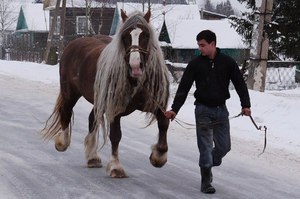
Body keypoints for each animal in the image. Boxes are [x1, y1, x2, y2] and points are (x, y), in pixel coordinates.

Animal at [41, 8, 170, 177]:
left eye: (146, 35)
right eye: (125, 36)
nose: (135, 66)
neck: (136, 82)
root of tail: (74, 44)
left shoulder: (155, 105)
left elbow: (164, 122)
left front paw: (159, 156)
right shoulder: (114, 110)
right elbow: (115, 136)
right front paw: (116, 166)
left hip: (98, 100)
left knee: (92, 119)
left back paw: (92, 157)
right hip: (70, 93)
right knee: (66, 112)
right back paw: (63, 142)